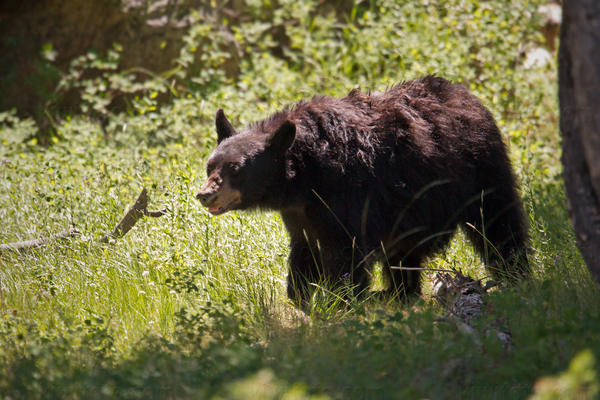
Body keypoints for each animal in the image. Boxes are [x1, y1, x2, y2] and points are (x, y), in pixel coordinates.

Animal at [198, 76, 528, 306]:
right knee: (404, 256)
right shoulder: (301, 214)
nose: (204, 194)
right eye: (210, 165)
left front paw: (340, 302)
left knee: (499, 225)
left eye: (235, 168)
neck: (306, 177)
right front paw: (304, 297)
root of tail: (466, 94)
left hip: (481, 170)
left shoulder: (348, 196)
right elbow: (305, 251)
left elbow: (347, 254)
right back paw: (398, 293)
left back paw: (516, 276)